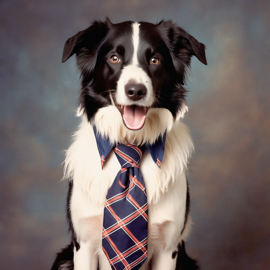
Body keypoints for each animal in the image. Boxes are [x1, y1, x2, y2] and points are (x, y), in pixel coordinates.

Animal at [50, 19, 207, 270]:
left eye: (154, 60)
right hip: (64, 259)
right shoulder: (83, 242)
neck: (130, 143)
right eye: (114, 58)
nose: (135, 91)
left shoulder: (169, 247)